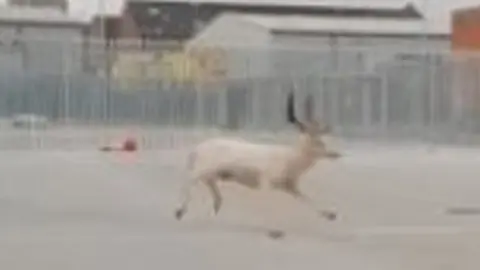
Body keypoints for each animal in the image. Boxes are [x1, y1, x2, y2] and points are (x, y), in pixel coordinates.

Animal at [174, 90, 340, 221]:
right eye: (318, 142)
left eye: (323, 140)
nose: (335, 154)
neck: (290, 158)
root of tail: (198, 148)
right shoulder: (266, 182)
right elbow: (268, 201)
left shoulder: (290, 187)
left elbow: (307, 199)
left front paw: (330, 214)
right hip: (203, 170)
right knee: (189, 180)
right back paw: (179, 211)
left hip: (211, 177)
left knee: (217, 197)